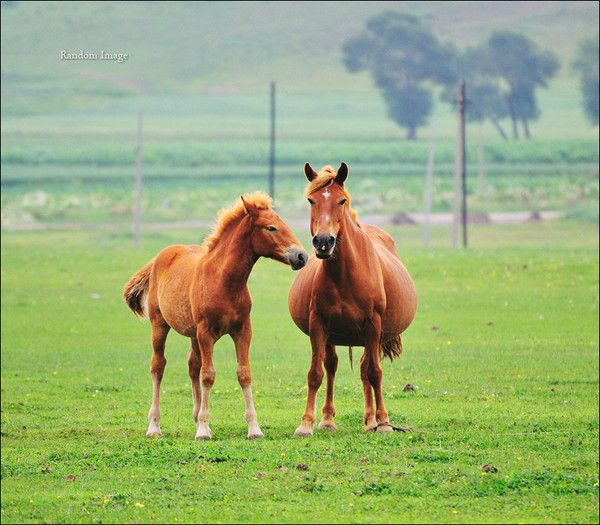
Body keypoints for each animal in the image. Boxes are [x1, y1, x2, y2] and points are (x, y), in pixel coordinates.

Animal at [123, 191, 308, 438]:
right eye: (271, 228)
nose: (301, 256)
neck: (223, 281)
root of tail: (161, 256)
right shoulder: (206, 332)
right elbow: (208, 374)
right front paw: (203, 430)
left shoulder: (242, 330)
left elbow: (243, 373)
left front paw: (254, 428)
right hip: (160, 324)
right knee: (158, 366)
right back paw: (154, 426)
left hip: (192, 334)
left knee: (192, 366)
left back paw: (195, 416)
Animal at [288, 163, 414, 434]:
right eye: (311, 200)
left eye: (342, 200)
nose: (323, 241)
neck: (345, 275)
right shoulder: (318, 324)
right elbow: (315, 373)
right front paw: (306, 423)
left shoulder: (373, 325)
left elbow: (374, 373)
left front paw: (384, 422)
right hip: (333, 336)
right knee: (332, 366)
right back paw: (328, 420)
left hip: (370, 337)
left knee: (367, 369)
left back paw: (372, 420)